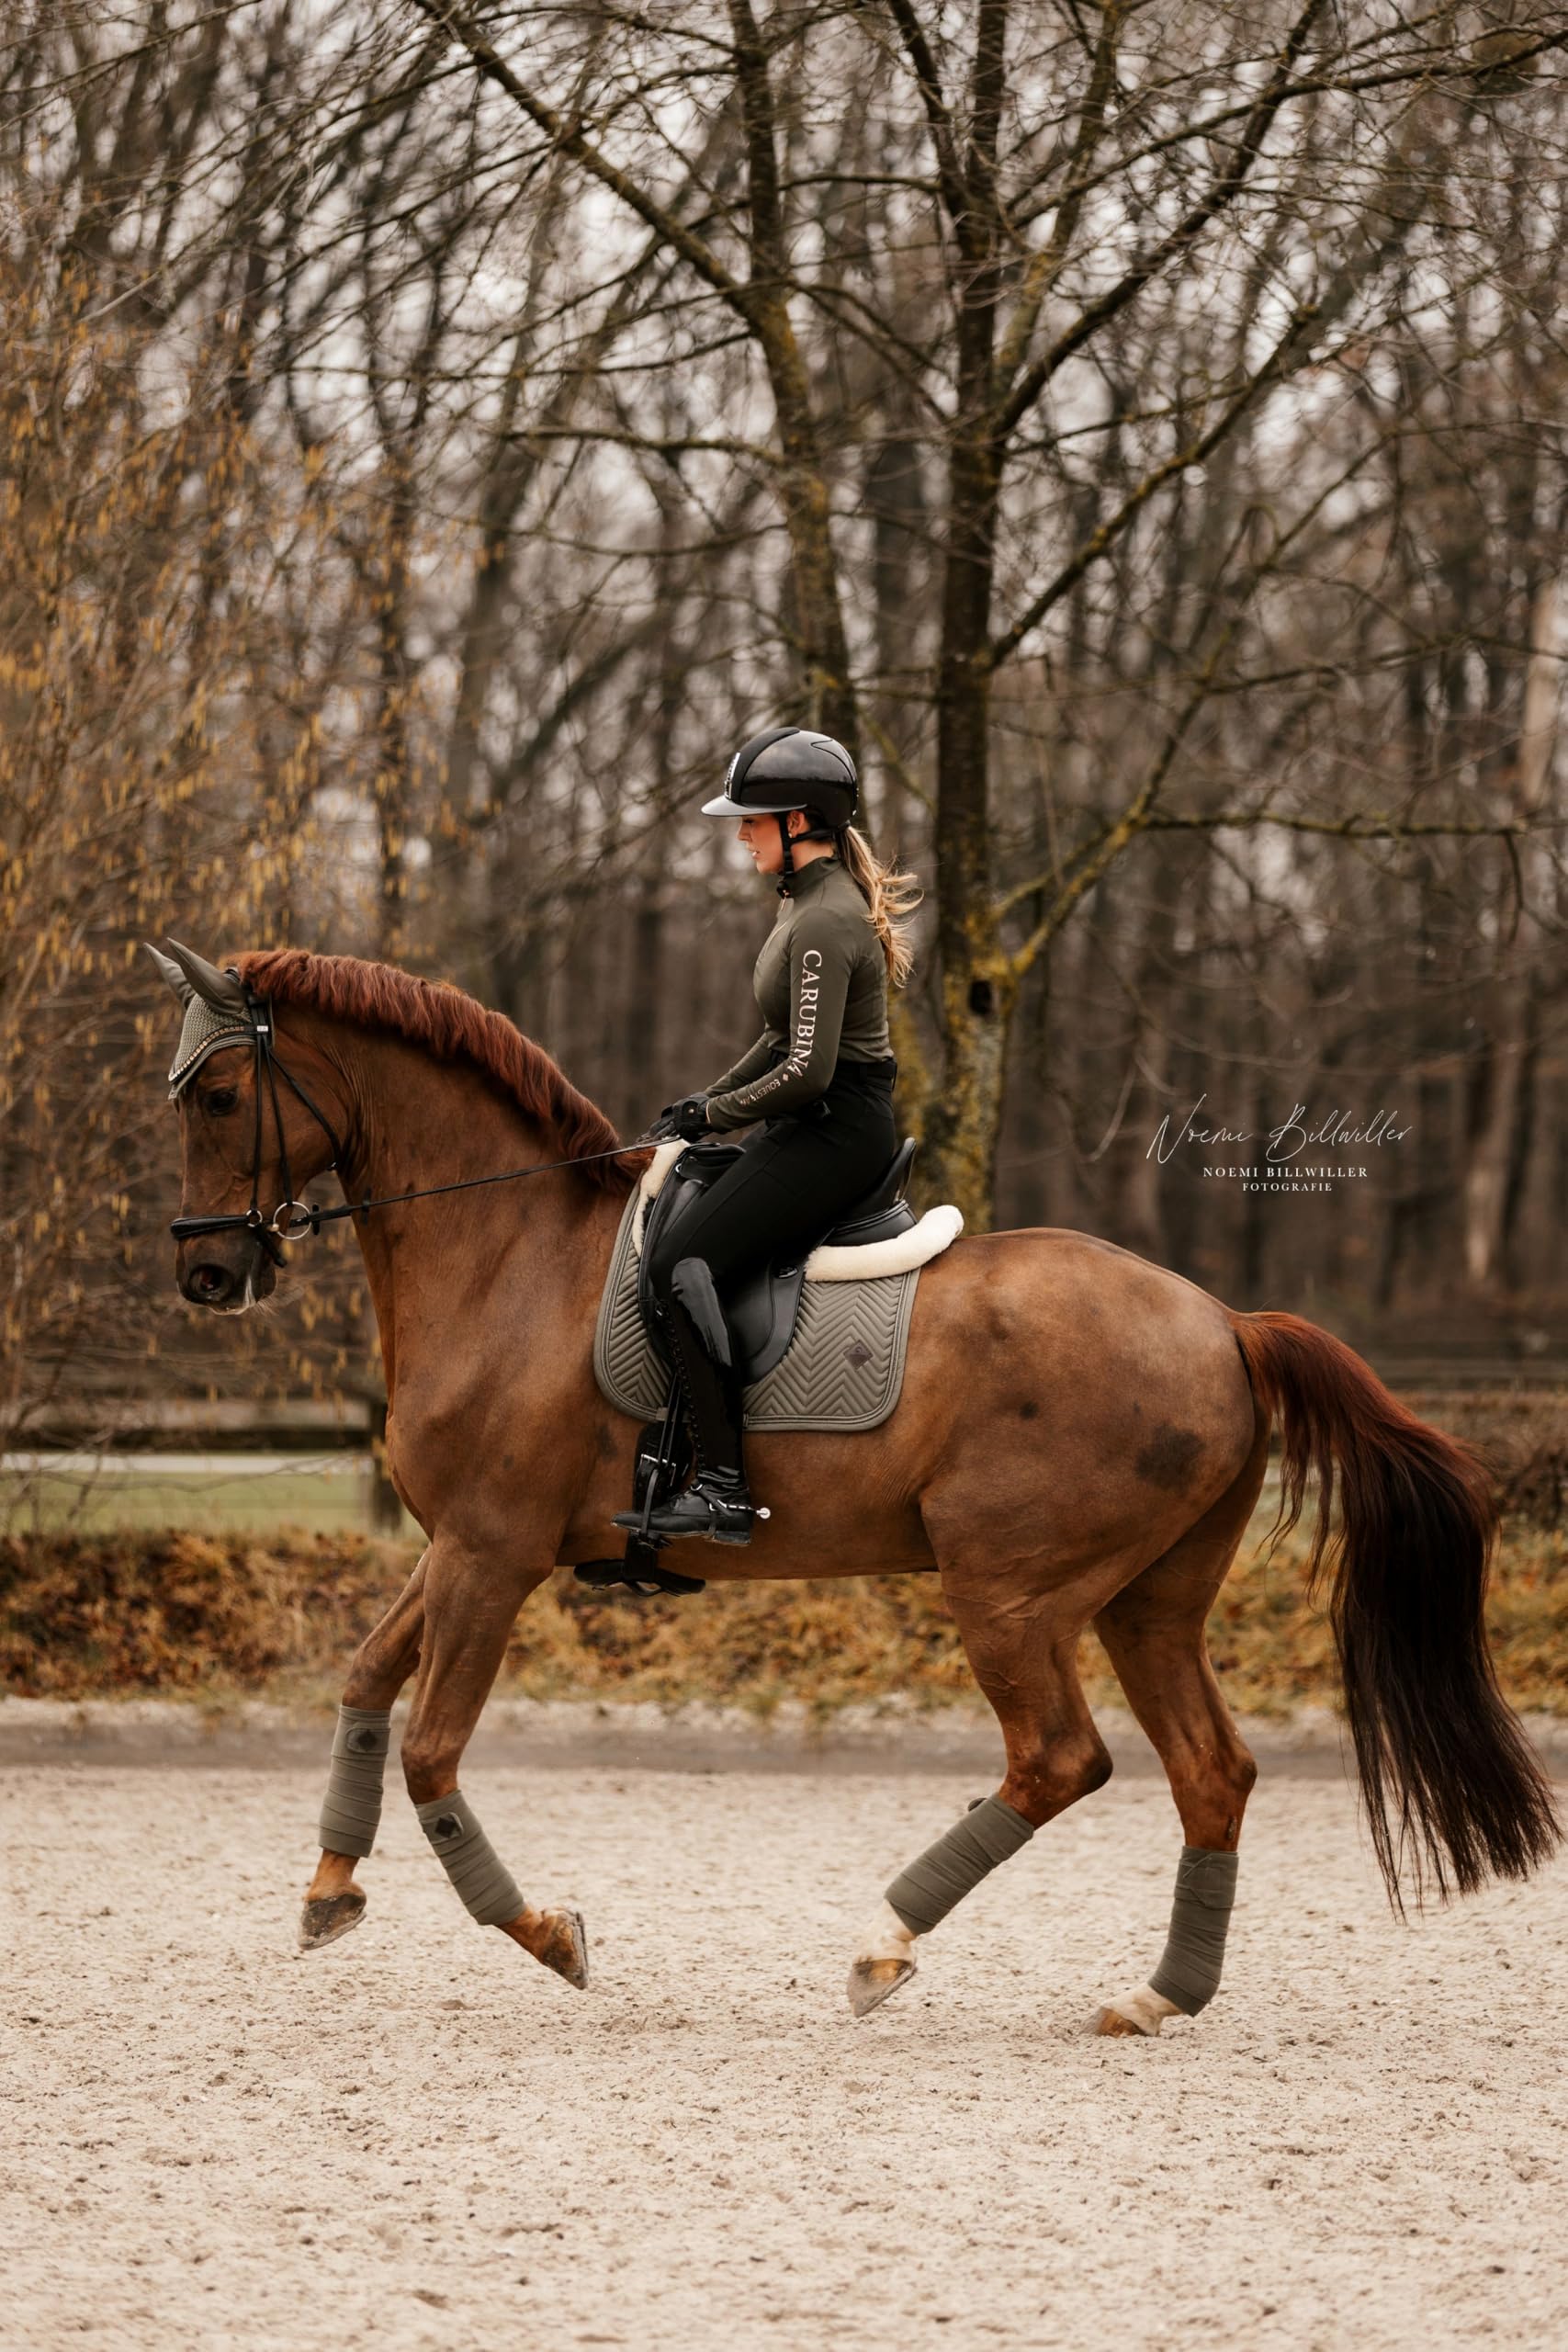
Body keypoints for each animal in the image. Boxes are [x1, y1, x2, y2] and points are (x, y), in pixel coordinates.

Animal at [150, 941, 1560, 2034]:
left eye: (215, 1095)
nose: (208, 1277)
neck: (508, 1257)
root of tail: (1224, 1321)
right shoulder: (454, 1546)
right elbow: (363, 1680)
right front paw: (329, 1888)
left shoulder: (493, 1556)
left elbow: (432, 1751)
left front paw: (549, 1934)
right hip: (1145, 1603)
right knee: (1210, 1771)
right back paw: (1157, 1995)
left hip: (1007, 1589)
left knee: (1059, 1757)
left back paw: (884, 1945)